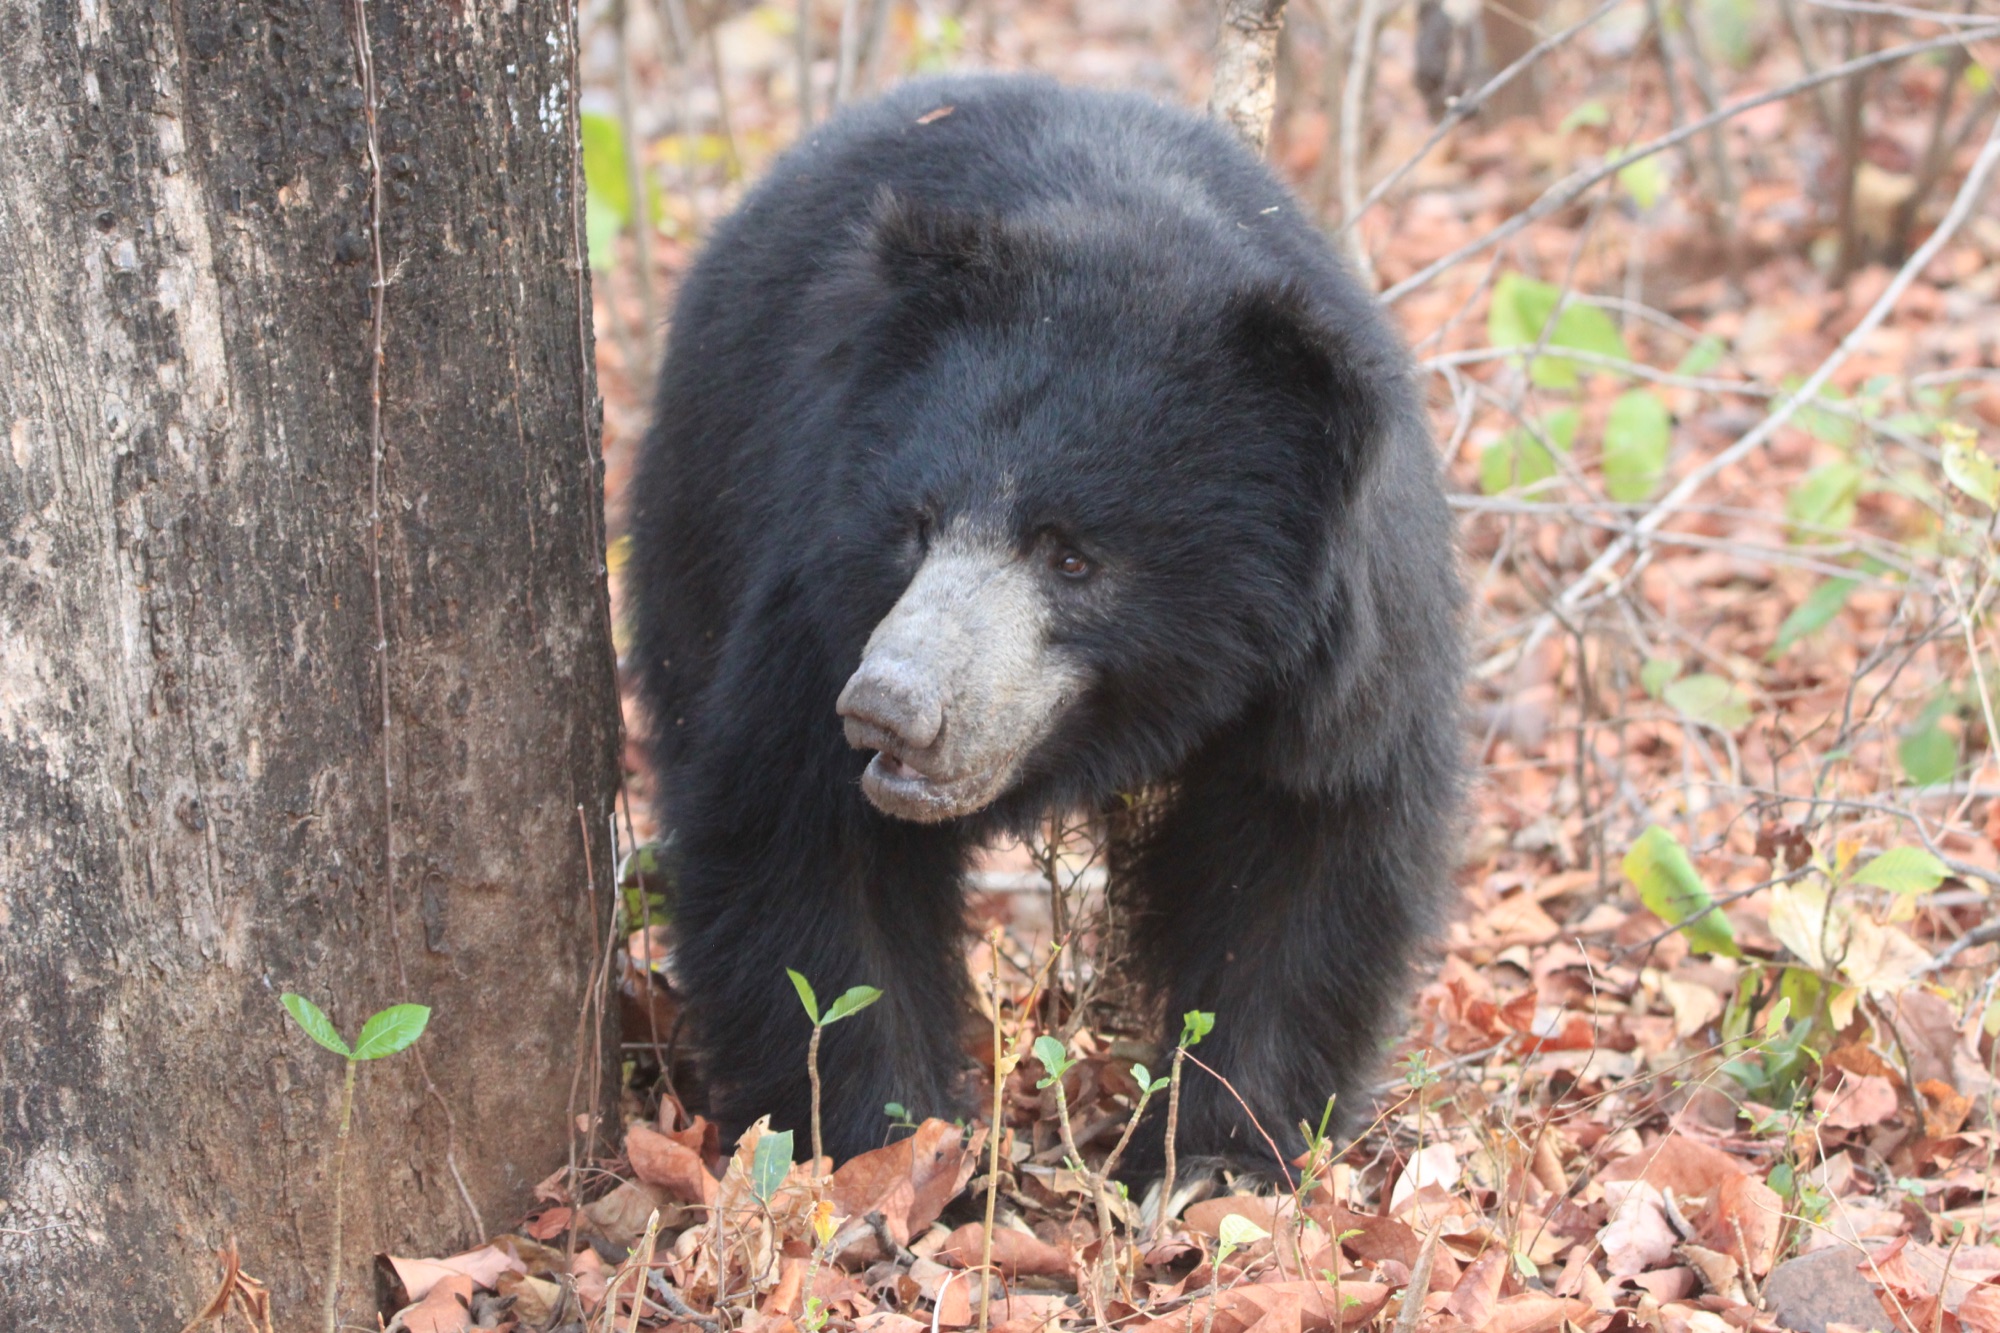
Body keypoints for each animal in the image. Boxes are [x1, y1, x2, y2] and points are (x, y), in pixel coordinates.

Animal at [626, 73, 1465, 1174]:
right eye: (916, 525)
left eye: (1072, 557)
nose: (886, 708)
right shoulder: (807, 581)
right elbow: (801, 842)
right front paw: (882, 1145)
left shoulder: (1346, 654)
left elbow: (1310, 843)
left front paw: (1215, 1154)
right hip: (695, 513)